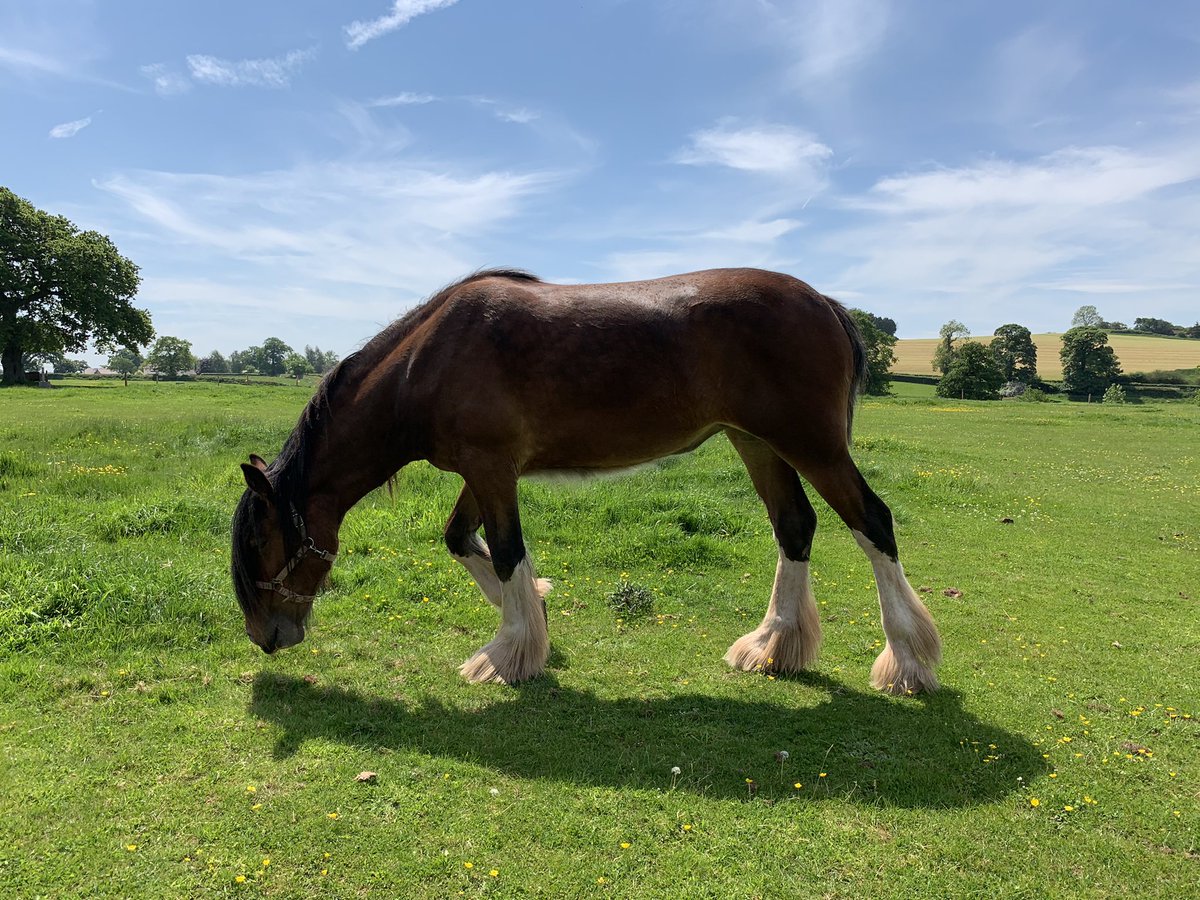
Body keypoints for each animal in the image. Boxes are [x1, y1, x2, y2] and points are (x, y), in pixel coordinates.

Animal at [231, 268, 941, 695]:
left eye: (260, 542)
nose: (267, 637)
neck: (427, 363)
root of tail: (825, 303)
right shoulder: (484, 471)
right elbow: (462, 541)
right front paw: (535, 611)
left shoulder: (491, 469)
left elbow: (504, 550)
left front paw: (510, 650)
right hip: (758, 443)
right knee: (795, 527)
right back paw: (772, 645)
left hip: (811, 445)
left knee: (872, 523)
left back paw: (907, 661)